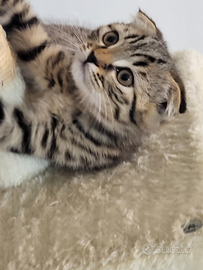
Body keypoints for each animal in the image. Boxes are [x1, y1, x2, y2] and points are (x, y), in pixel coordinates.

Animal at [0, 0, 186, 169]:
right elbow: (22, 19)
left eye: (125, 77)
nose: (92, 57)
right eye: (111, 38)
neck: (75, 97)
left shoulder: (41, 135)